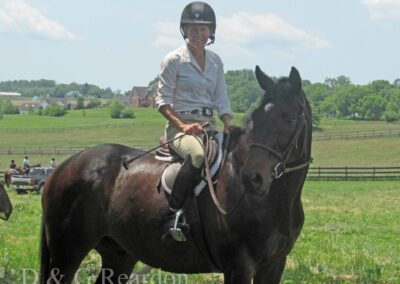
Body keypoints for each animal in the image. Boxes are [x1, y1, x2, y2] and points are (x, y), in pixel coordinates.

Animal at [39, 65, 312, 282]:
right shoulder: (239, 266)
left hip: (119, 254)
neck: (273, 202)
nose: (252, 178)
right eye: (255, 118)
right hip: (67, 253)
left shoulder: (274, 264)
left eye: (288, 120)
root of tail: (62, 168)